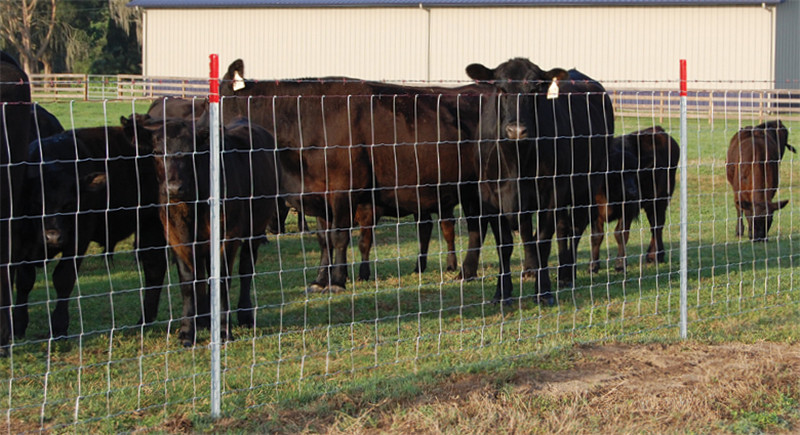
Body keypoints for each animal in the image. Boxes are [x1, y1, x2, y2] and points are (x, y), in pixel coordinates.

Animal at [12, 126, 167, 340]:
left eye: (69, 204)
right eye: (36, 203)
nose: (53, 236)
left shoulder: (79, 237)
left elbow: (63, 278)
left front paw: (59, 327)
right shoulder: (22, 240)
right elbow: (25, 281)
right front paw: (18, 326)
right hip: (149, 226)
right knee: (155, 269)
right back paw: (144, 320)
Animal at [126, 114, 284, 346]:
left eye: (193, 151)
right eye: (157, 151)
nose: (174, 188)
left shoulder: (228, 236)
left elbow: (223, 280)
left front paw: (224, 330)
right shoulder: (177, 238)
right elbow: (189, 284)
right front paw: (187, 332)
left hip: (255, 228)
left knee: (246, 269)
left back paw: (244, 315)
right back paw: (204, 319)